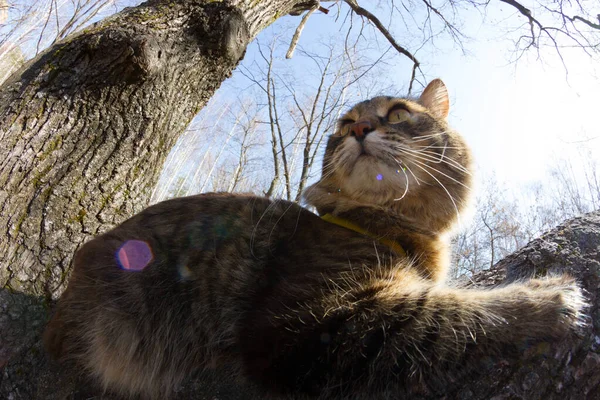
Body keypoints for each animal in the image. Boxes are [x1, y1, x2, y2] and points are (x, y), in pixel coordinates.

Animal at [43, 79, 584, 398]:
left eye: (397, 114)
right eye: (345, 124)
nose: (361, 128)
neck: (385, 224)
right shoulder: (305, 325)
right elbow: (449, 311)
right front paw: (545, 297)